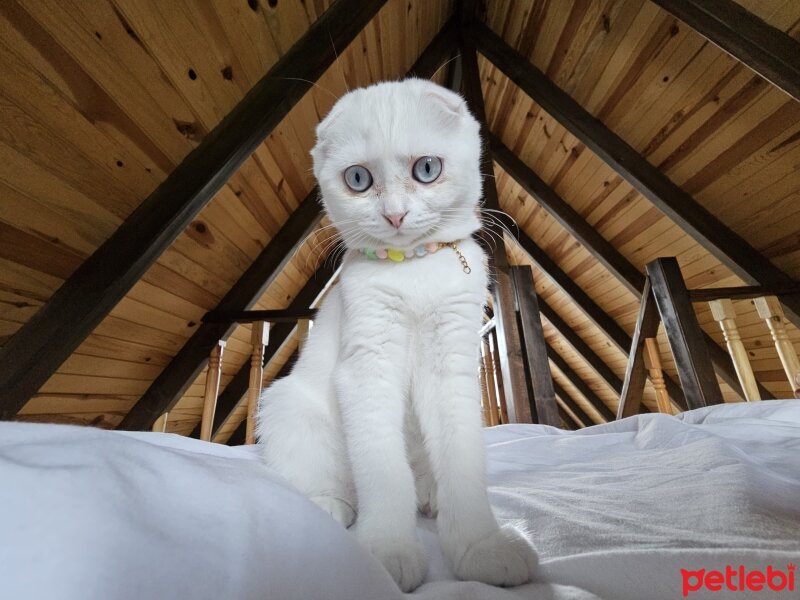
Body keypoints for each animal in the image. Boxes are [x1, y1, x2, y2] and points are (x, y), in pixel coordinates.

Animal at [256, 78, 536, 592]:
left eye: (426, 169)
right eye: (358, 179)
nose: (394, 215)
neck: (414, 272)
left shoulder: (451, 368)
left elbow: (462, 464)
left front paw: (480, 546)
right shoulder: (369, 367)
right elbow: (383, 471)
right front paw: (386, 549)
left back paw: (431, 497)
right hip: (287, 406)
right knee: (323, 480)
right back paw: (331, 508)